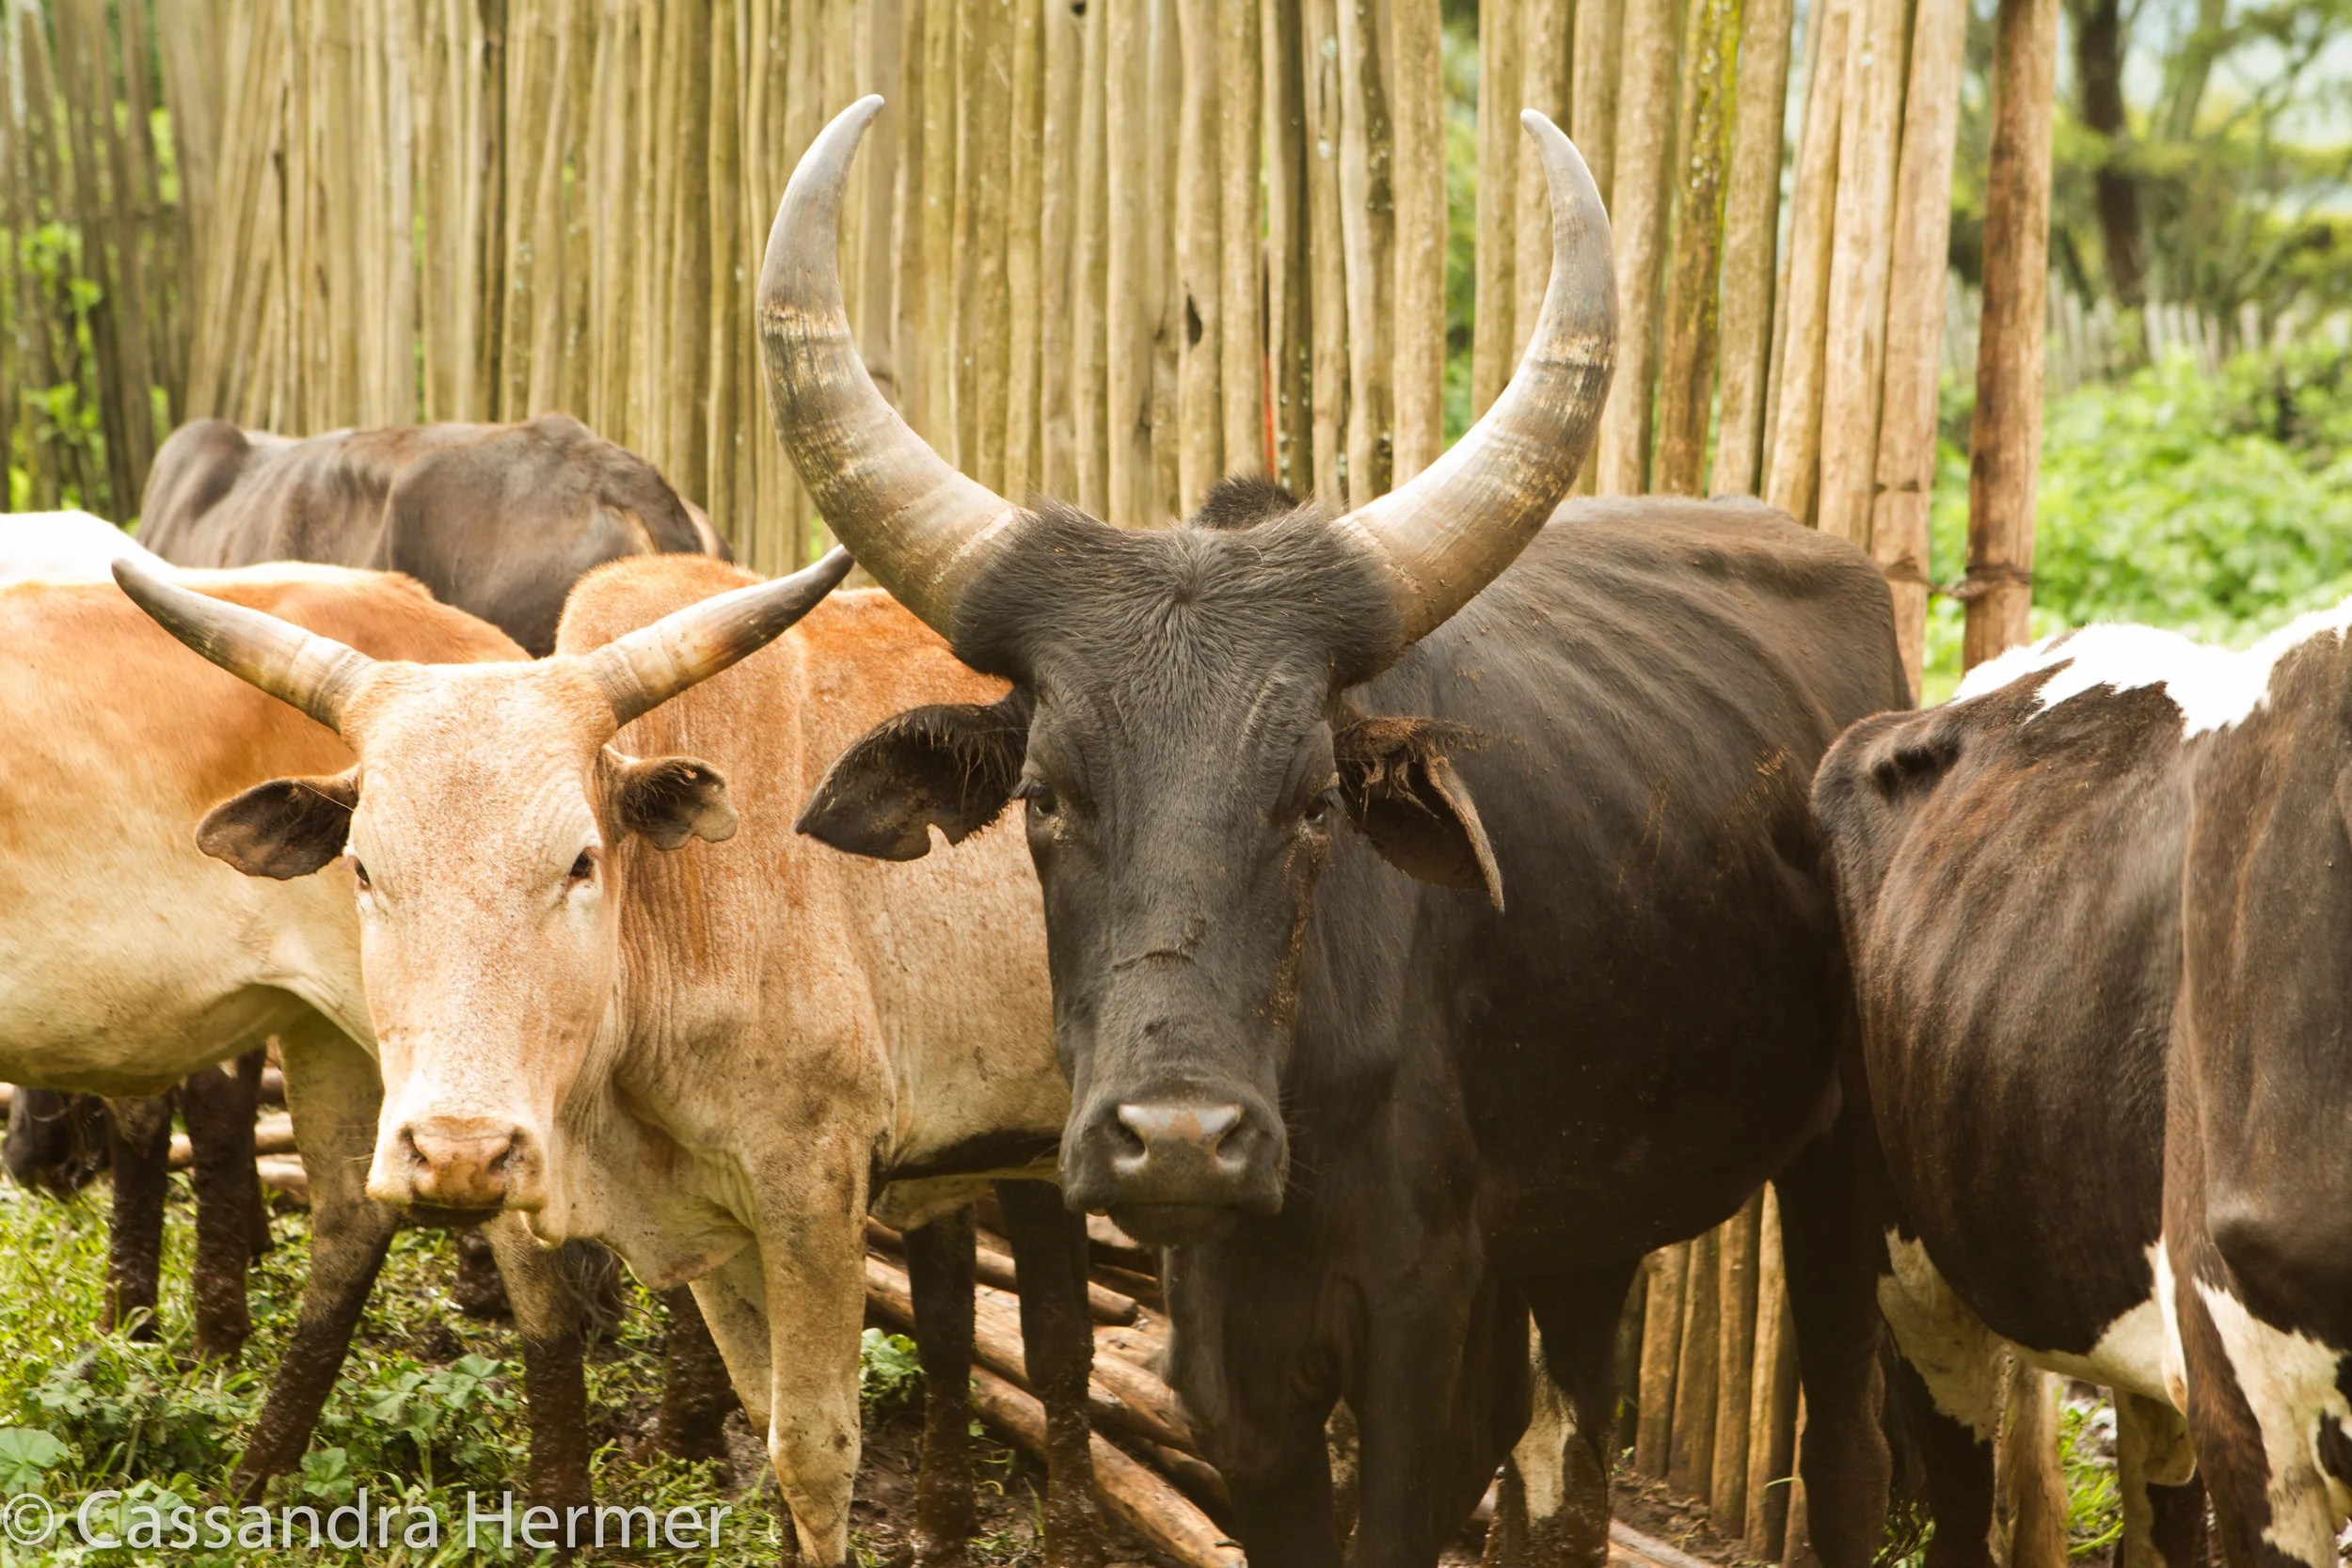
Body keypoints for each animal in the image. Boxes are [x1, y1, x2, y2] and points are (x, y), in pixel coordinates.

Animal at [0, 562, 600, 1509]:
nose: (35, 1164)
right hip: (331, 1027)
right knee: (352, 1215)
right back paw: (254, 1475)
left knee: (517, 1241)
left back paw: (558, 1506)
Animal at [112, 548, 1114, 1567]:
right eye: (362, 867)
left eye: (580, 861)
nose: (460, 1153)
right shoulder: (722, 1218)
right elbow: (765, 1410)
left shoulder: (813, 1192)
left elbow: (813, 1452)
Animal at [766, 99, 1906, 1568]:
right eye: (1045, 795)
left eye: (1315, 800)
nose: (1178, 1135)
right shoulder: (1234, 1362)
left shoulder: (1419, 1316)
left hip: (1838, 1168)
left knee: (1845, 1436)